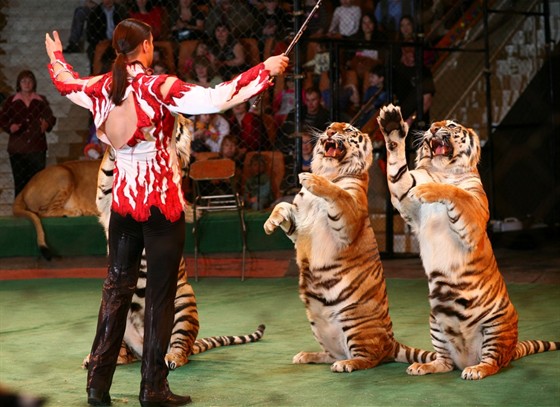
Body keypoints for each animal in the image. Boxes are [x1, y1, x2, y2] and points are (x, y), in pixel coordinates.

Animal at [85, 114, 265, 370]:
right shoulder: (107, 199)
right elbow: (107, 174)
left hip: (183, 303)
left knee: (181, 346)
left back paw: (172, 358)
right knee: (122, 349)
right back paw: (102, 358)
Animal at [263, 122, 436, 373]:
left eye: (347, 130)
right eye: (330, 126)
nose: (329, 131)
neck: (328, 170)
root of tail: (391, 341)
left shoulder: (348, 220)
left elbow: (338, 193)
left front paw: (311, 180)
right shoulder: (298, 224)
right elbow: (283, 206)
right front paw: (270, 223)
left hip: (354, 321)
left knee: (370, 358)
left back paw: (347, 364)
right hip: (319, 323)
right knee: (333, 353)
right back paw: (307, 355)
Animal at [377, 103, 559, 380]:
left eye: (451, 125)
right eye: (434, 123)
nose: (432, 127)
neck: (442, 170)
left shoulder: (474, 213)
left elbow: (457, 193)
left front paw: (432, 190)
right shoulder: (406, 197)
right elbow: (398, 168)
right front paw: (391, 124)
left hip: (496, 325)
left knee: (493, 362)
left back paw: (478, 370)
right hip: (435, 322)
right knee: (445, 362)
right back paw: (424, 366)